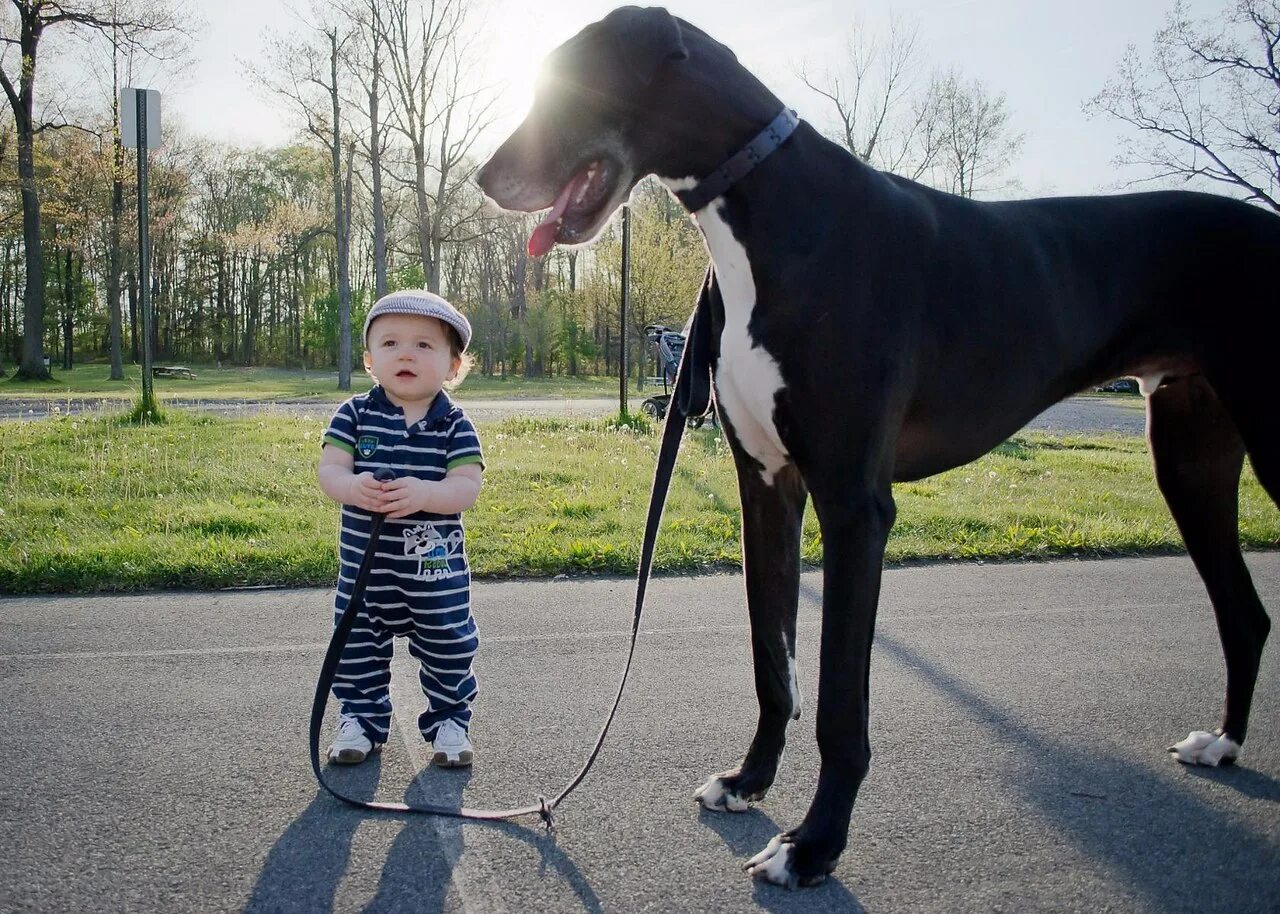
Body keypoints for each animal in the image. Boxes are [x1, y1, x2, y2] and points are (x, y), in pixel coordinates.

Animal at [476, 7, 1274, 885]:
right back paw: (1223, 743)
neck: (772, 210)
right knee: (1245, 613)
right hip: (1188, 458)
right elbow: (773, 660)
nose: (484, 177)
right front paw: (749, 781)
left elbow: (836, 703)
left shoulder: (855, 506)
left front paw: (814, 845)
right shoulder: (767, 488)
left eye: (572, 79)